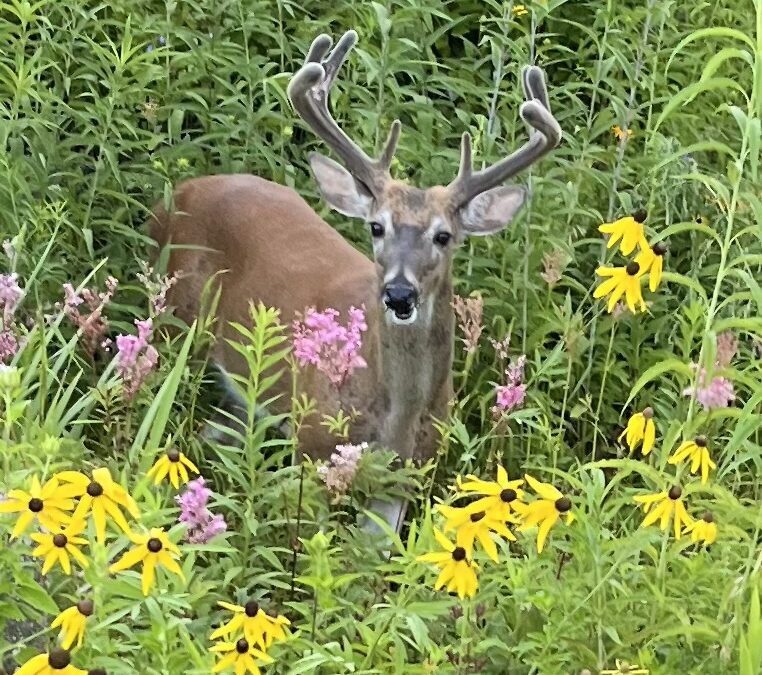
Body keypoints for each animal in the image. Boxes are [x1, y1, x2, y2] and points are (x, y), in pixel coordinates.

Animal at [150, 30, 560, 540]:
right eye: (377, 227)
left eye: (443, 235)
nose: (399, 294)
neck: (395, 421)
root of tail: (178, 192)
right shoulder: (313, 444)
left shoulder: (406, 477)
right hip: (172, 324)